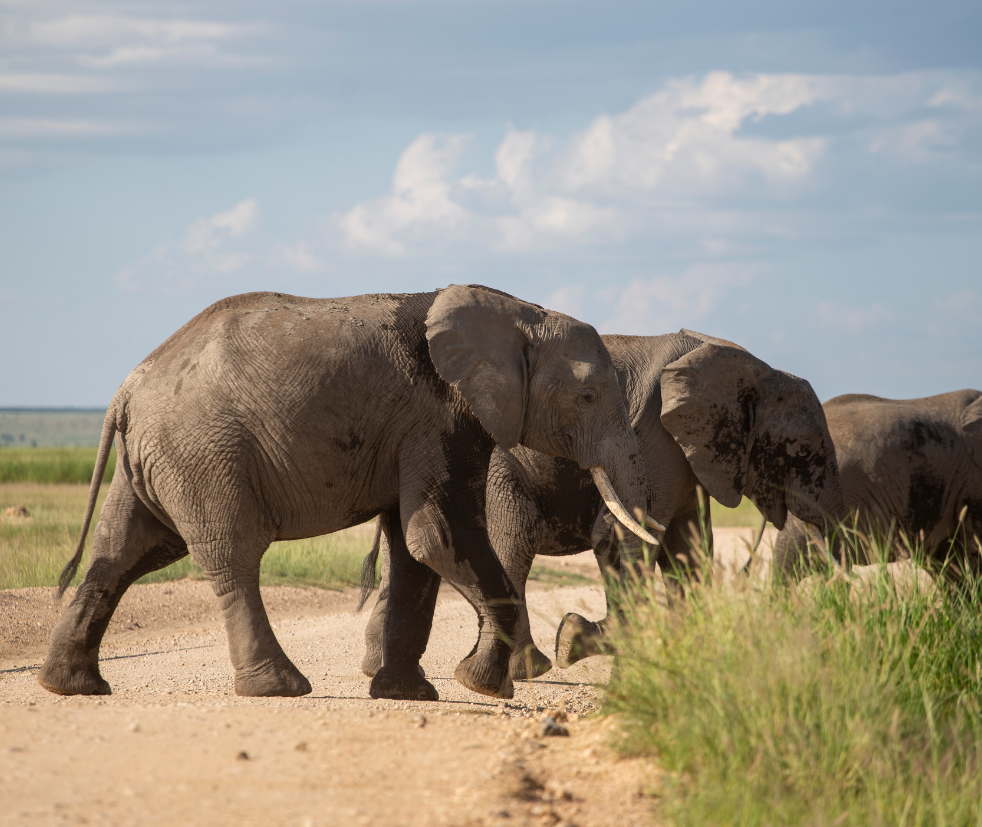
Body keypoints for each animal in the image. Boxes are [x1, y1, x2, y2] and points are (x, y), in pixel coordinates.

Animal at [40, 284, 652, 700]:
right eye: (589, 396)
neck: (519, 313)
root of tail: (126, 388)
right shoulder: (439, 418)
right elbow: (437, 536)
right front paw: (481, 686)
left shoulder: (421, 428)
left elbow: (415, 551)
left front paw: (411, 695)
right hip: (202, 453)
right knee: (231, 553)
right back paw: (280, 688)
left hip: (154, 459)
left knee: (124, 554)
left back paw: (70, 686)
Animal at [362, 330, 844, 680]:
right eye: (803, 451)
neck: (756, 370)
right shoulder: (655, 440)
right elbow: (624, 536)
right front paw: (574, 640)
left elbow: (688, 549)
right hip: (498, 470)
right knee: (515, 542)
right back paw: (526, 670)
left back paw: (381, 670)